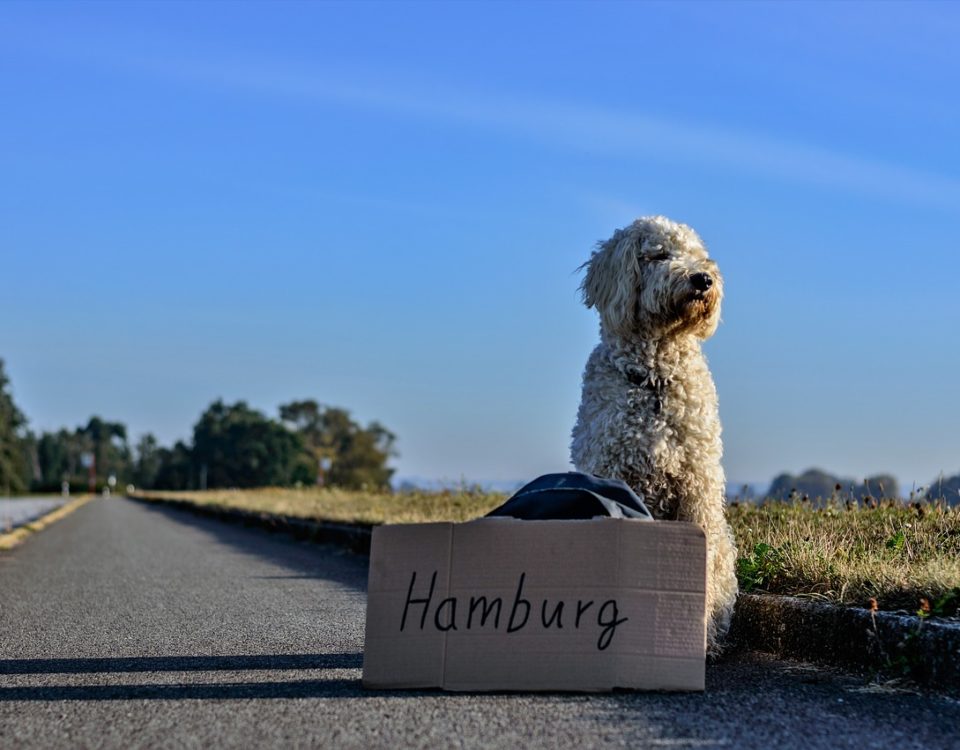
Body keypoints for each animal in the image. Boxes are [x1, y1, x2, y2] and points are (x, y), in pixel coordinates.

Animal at [572, 214, 740, 656]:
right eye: (660, 254)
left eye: (697, 254)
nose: (703, 278)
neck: (654, 380)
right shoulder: (609, 471)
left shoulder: (698, 485)